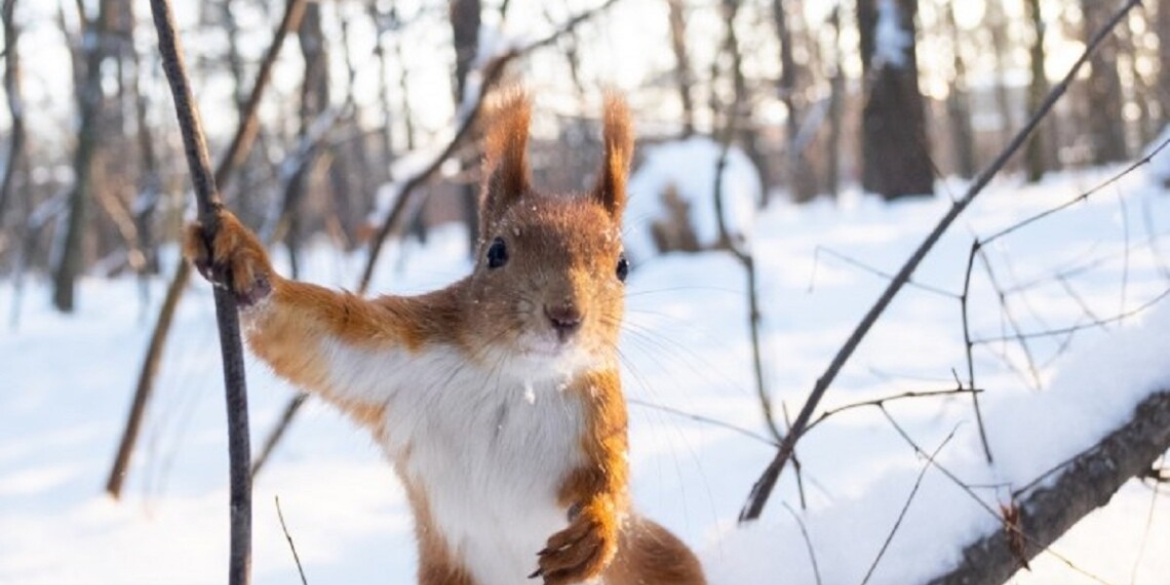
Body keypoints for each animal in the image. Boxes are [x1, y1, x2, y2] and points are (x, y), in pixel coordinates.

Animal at [187, 90, 706, 585]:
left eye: (623, 266)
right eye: (496, 252)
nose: (565, 315)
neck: (521, 378)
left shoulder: (601, 413)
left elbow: (610, 478)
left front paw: (595, 531)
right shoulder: (397, 354)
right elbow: (305, 334)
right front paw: (243, 261)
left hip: (660, 563)